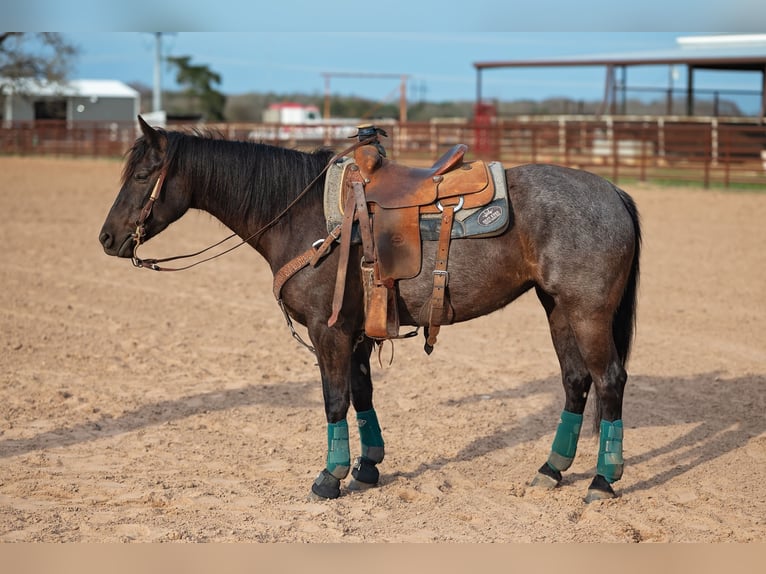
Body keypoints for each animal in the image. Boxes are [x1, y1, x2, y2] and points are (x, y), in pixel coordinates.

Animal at [99, 117, 641, 503]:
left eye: (144, 174)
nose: (106, 238)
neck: (302, 216)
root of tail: (613, 191)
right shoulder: (354, 332)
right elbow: (362, 394)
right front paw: (367, 467)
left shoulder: (329, 331)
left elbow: (335, 399)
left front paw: (329, 477)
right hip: (557, 307)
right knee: (576, 380)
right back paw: (552, 469)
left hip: (588, 312)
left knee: (609, 379)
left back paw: (602, 480)